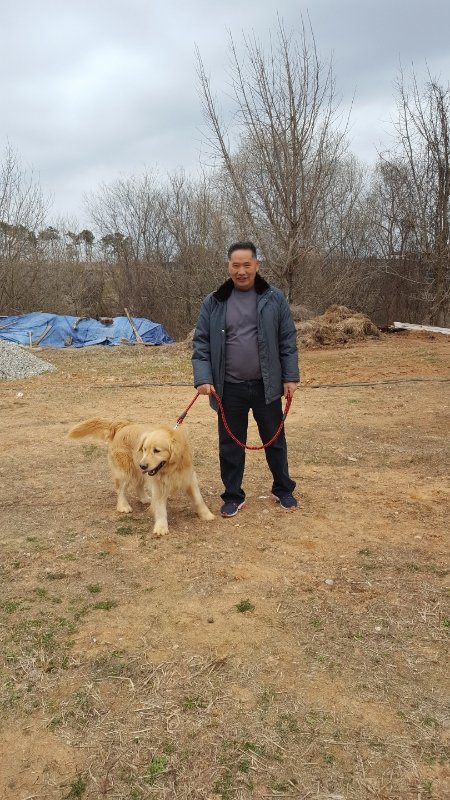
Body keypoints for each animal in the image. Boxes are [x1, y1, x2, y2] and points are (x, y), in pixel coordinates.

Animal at [68, 418, 215, 536]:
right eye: (144, 449)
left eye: (156, 450)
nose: (143, 465)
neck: (171, 469)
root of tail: (122, 425)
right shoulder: (158, 485)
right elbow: (160, 508)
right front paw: (161, 527)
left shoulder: (189, 478)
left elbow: (198, 499)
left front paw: (207, 515)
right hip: (126, 470)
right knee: (120, 489)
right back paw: (123, 506)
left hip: (139, 472)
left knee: (138, 485)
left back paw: (145, 499)